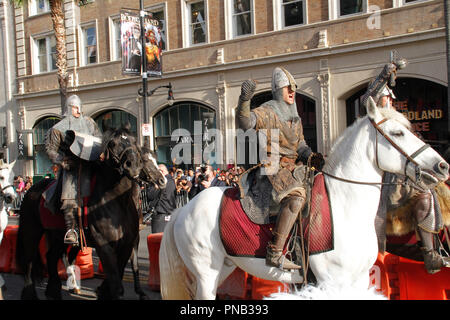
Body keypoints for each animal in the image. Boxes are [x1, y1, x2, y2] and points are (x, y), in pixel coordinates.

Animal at [16, 126, 167, 298]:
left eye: (134, 141)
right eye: (113, 144)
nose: (162, 180)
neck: (117, 202)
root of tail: (32, 189)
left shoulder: (128, 242)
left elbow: (129, 267)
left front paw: (110, 290)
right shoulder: (104, 245)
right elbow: (116, 282)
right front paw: (107, 290)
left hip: (57, 236)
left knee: (52, 257)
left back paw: (54, 290)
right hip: (31, 232)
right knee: (29, 262)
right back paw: (34, 293)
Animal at [158, 99, 446, 298]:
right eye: (397, 133)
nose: (442, 166)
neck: (346, 206)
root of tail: (186, 209)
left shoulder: (360, 280)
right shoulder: (332, 282)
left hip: (224, 266)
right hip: (205, 272)